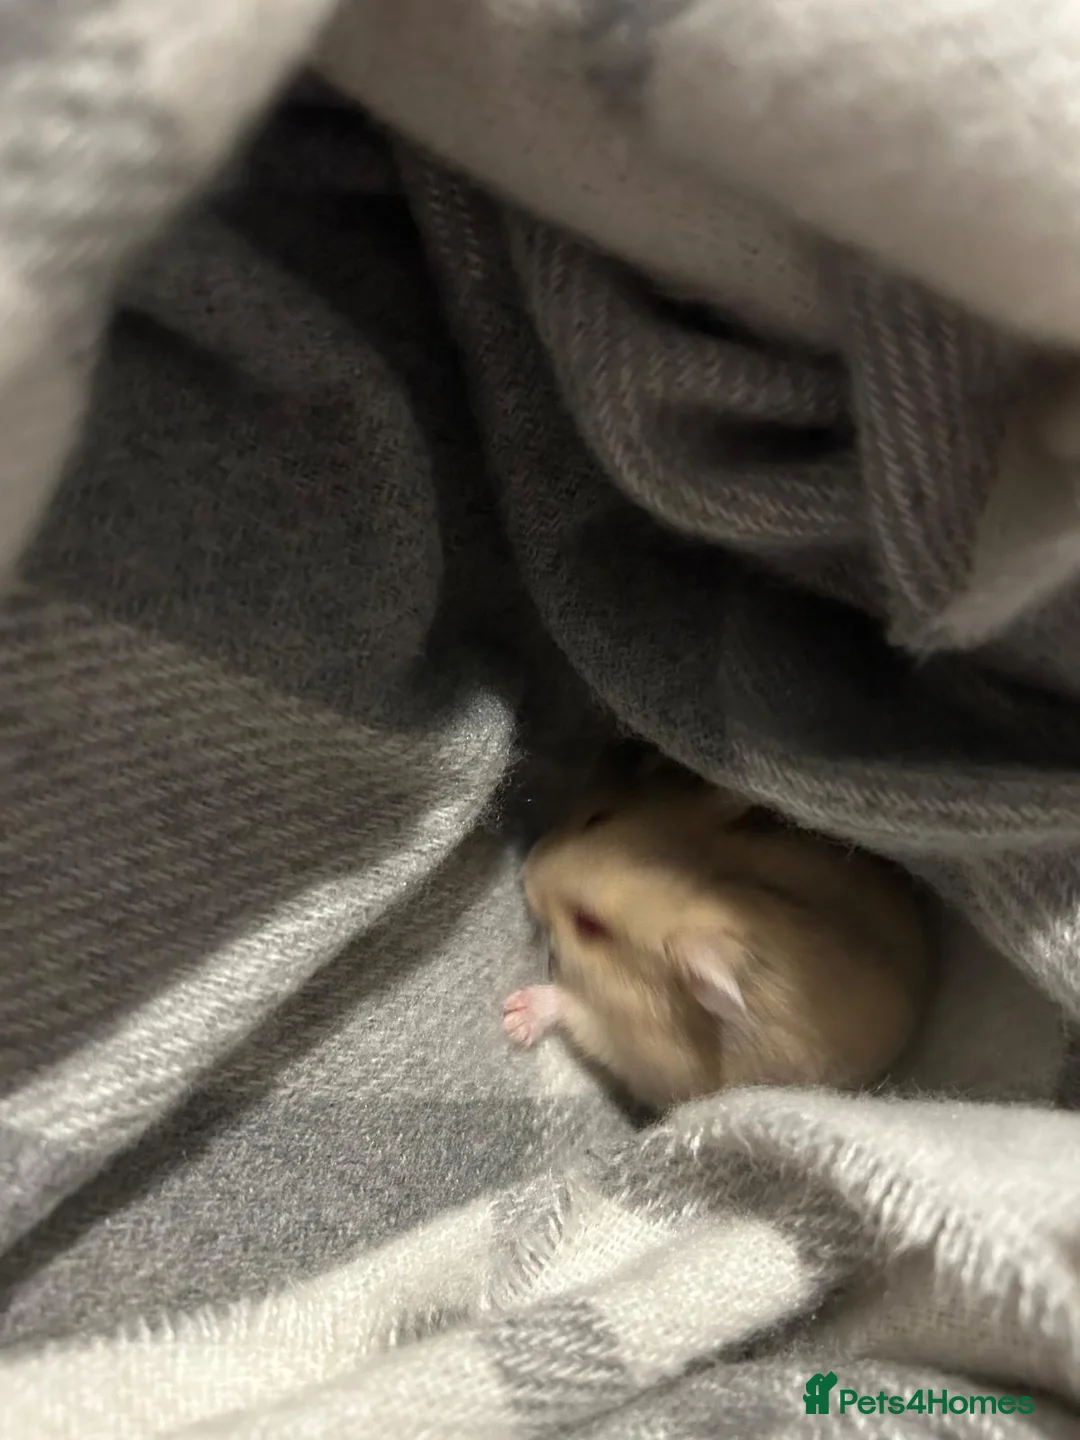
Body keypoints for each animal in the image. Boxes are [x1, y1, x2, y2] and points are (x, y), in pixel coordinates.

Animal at [502, 776, 930, 1111]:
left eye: (589, 926)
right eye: (597, 817)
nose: (523, 872)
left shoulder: (644, 1057)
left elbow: (573, 1010)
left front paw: (512, 1017)